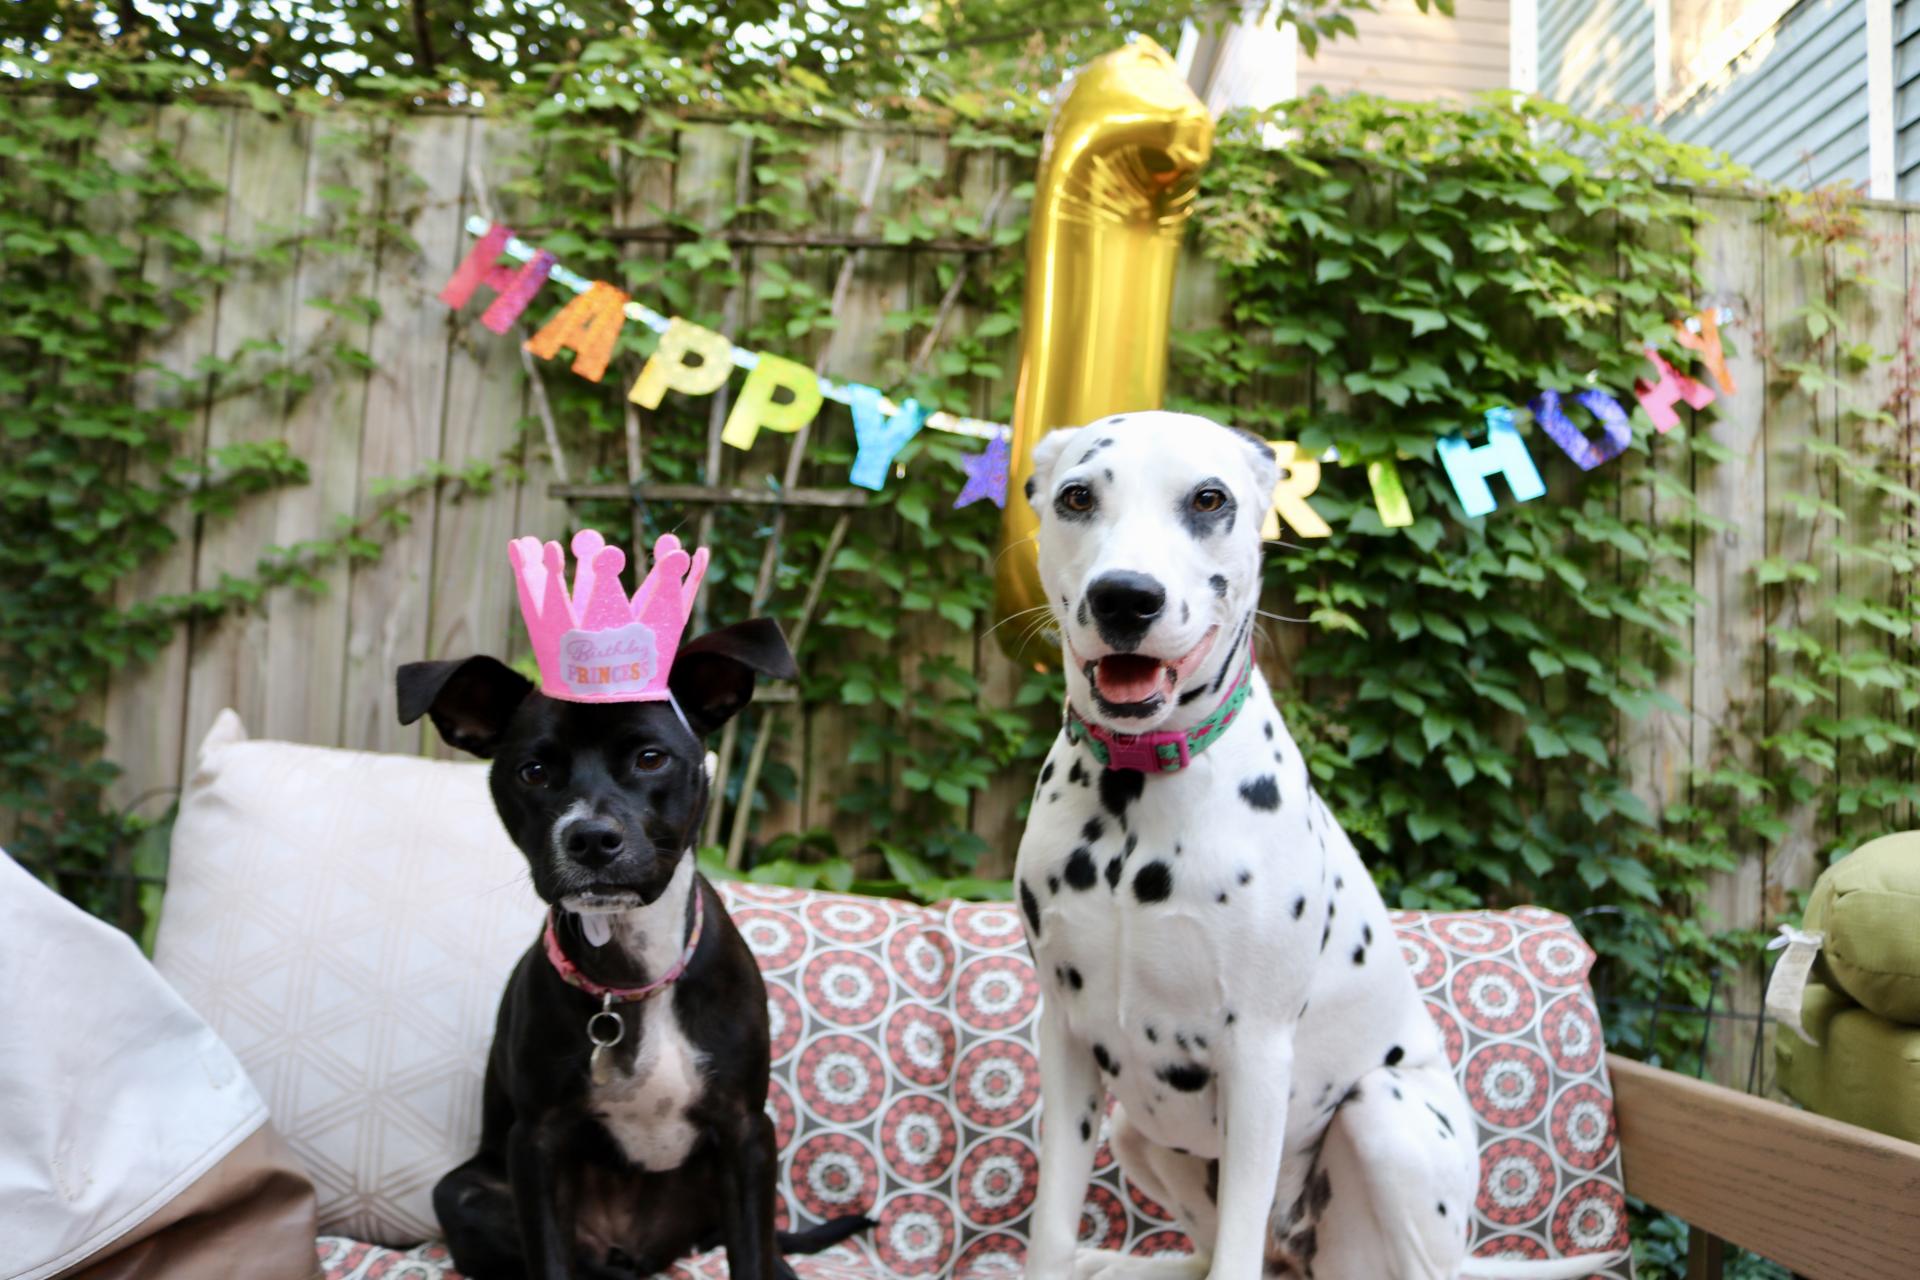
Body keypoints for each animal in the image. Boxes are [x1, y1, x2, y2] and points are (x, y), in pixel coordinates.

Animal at [405, 614, 871, 1274]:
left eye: (651, 758)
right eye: (533, 771)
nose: (591, 838)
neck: (634, 969)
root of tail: (638, 1250)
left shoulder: (746, 1132)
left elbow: (752, 1258)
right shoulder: (535, 1145)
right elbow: (550, 1261)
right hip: (465, 1192)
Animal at [1013, 412, 1628, 1280]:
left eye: (1209, 499)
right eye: (1075, 496)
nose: (1125, 596)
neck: (1140, 794)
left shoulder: (1258, 1057)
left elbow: (1236, 1251)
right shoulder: (1066, 1044)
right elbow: (1052, 1236)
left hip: (1385, 1115)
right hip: (1135, 1131)